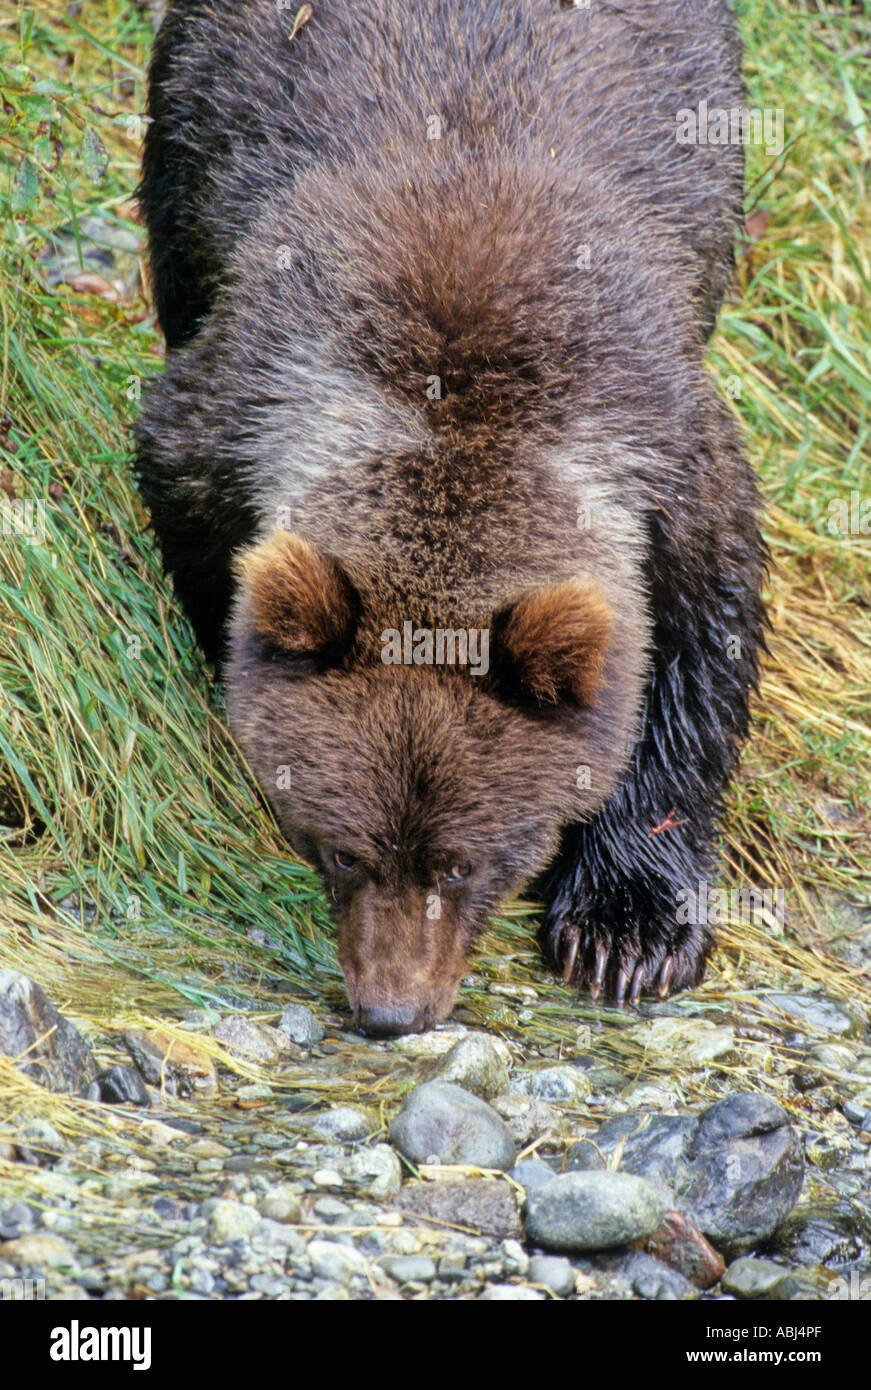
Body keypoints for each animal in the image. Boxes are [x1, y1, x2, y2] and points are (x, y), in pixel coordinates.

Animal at [135, 0, 766, 1035]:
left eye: (465, 861)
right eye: (342, 848)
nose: (390, 1011)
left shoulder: (668, 464)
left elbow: (695, 666)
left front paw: (626, 929)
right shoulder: (233, 407)